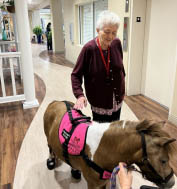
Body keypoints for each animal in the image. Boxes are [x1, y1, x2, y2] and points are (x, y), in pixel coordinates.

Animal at [43, 101, 176, 189]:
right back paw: (51, 160)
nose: (172, 182)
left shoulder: (104, 183)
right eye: (164, 160)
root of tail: (56, 102)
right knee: (50, 148)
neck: (102, 151)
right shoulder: (93, 185)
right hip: (47, 138)